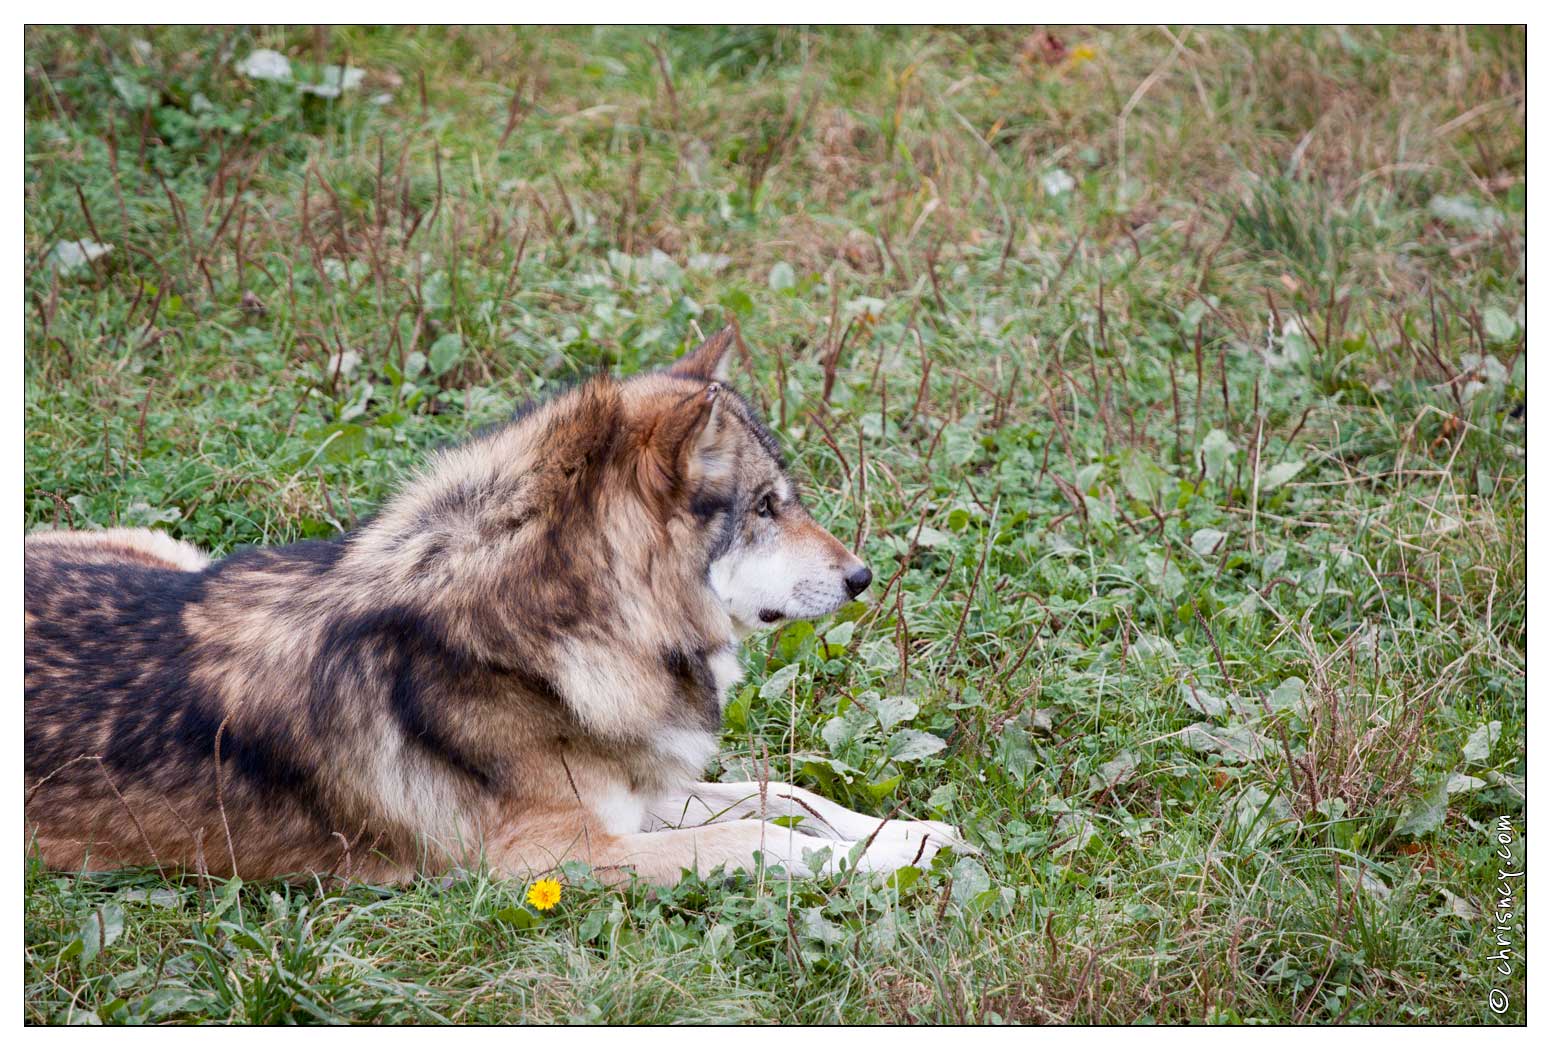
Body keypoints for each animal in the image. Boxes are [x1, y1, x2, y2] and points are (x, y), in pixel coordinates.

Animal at [24, 328, 961, 886]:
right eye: (766, 507)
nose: (863, 575)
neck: (544, 640)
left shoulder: (638, 793)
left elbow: (786, 791)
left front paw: (908, 835)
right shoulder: (550, 857)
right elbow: (761, 838)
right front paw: (867, 858)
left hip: (177, 553)